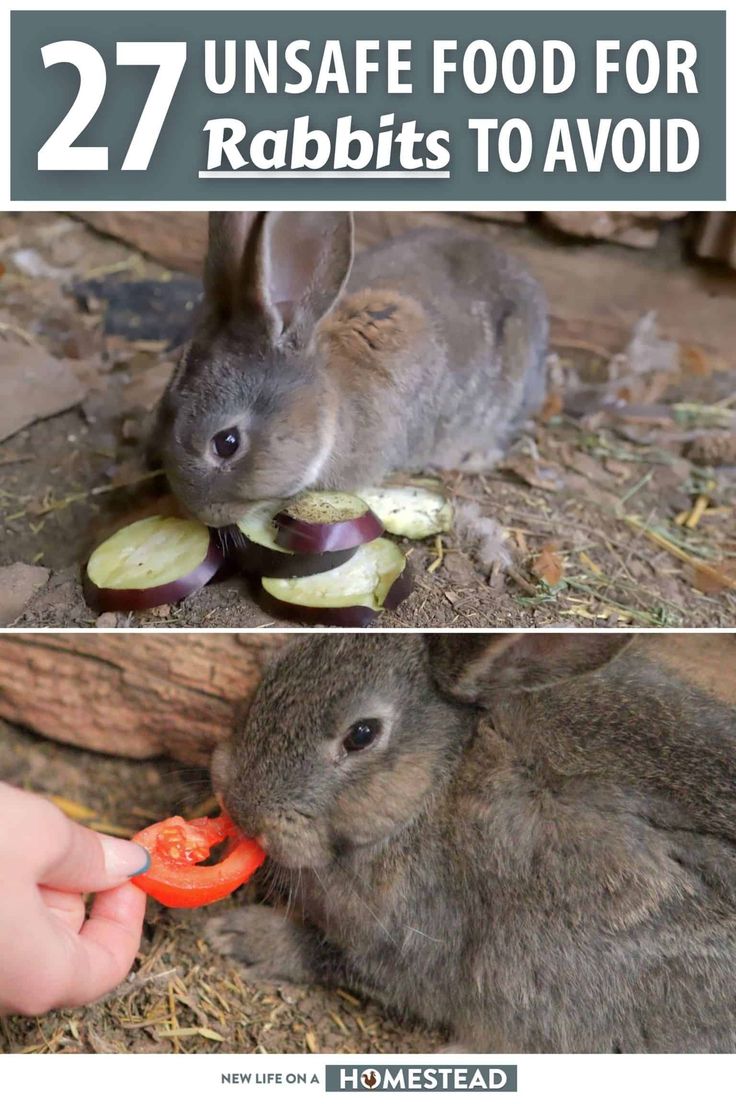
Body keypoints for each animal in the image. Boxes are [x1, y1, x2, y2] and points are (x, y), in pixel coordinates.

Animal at [206, 631, 736, 1051]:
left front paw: (243, 936)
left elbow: (332, 956)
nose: (242, 807)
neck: (438, 779)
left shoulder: (417, 943)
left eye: (361, 735)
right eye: (276, 665)